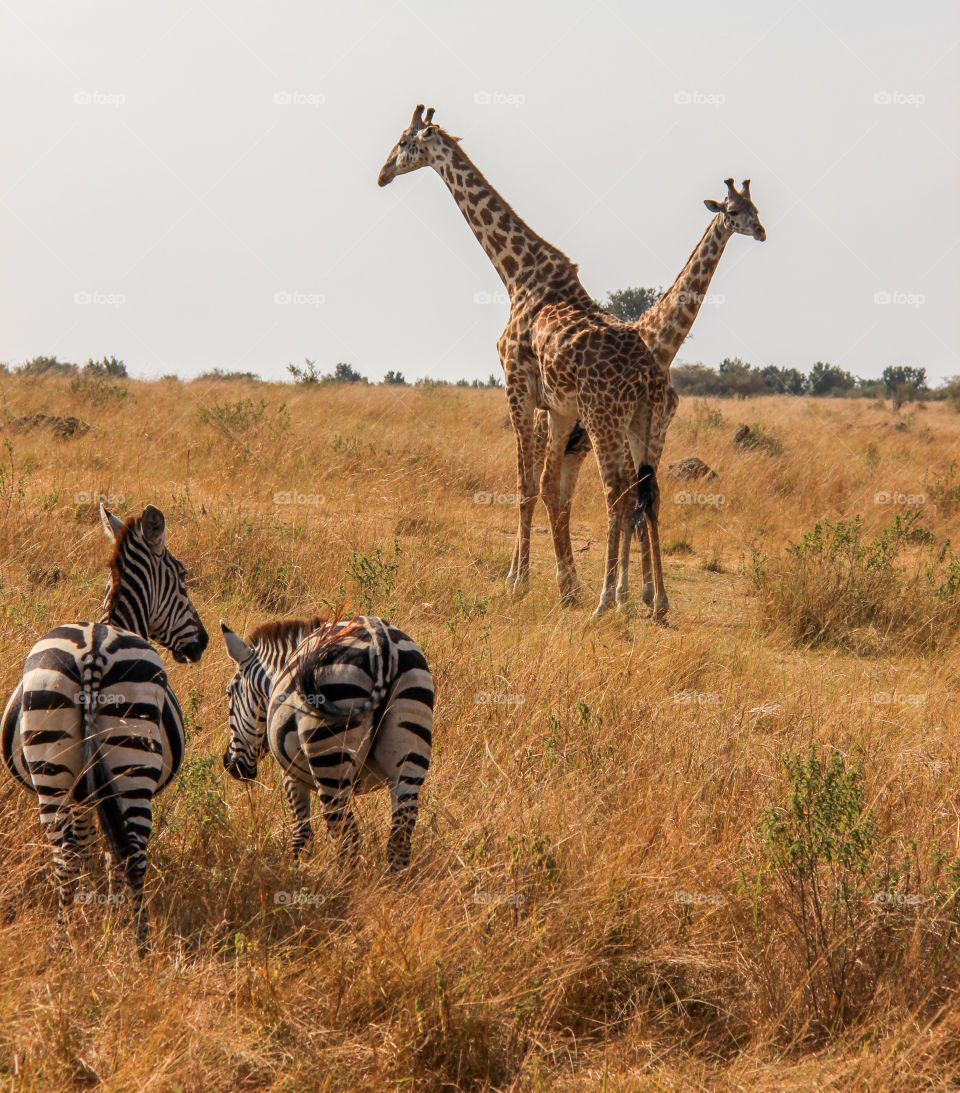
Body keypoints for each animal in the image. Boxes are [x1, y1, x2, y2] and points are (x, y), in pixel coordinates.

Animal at [0, 503, 208, 944]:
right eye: (183, 578)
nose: (202, 643)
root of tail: (93, 651)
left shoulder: (83, 793)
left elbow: (84, 847)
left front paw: (92, 911)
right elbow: (112, 852)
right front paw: (110, 913)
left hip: (51, 766)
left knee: (63, 855)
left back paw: (63, 941)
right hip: (133, 766)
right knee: (134, 855)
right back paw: (139, 943)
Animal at [220, 614, 433, 870]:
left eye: (229, 693)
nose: (229, 765)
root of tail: (382, 641)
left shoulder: (290, 775)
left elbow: (301, 834)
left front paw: (297, 868)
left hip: (329, 756)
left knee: (347, 838)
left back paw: (338, 880)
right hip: (410, 748)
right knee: (399, 839)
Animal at [378, 105, 675, 618]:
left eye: (402, 142)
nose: (381, 174)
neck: (517, 273)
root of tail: (649, 376)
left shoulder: (516, 386)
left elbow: (524, 485)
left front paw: (518, 584)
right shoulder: (558, 408)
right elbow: (551, 487)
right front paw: (563, 585)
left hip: (605, 415)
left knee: (615, 489)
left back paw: (607, 602)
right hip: (643, 421)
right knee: (644, 492)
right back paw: (648, 603)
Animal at [530, 178, 766, 609]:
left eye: (755, 208)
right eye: (732, 211)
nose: (760, 231)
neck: (659, 342)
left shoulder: (654, 431)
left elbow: (644, 500)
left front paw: (647, 595)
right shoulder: (628, 433)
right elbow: (631, 504)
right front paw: (632, 594)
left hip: (578, 444)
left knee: (562, 496)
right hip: (549, 431)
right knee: (530, 488)